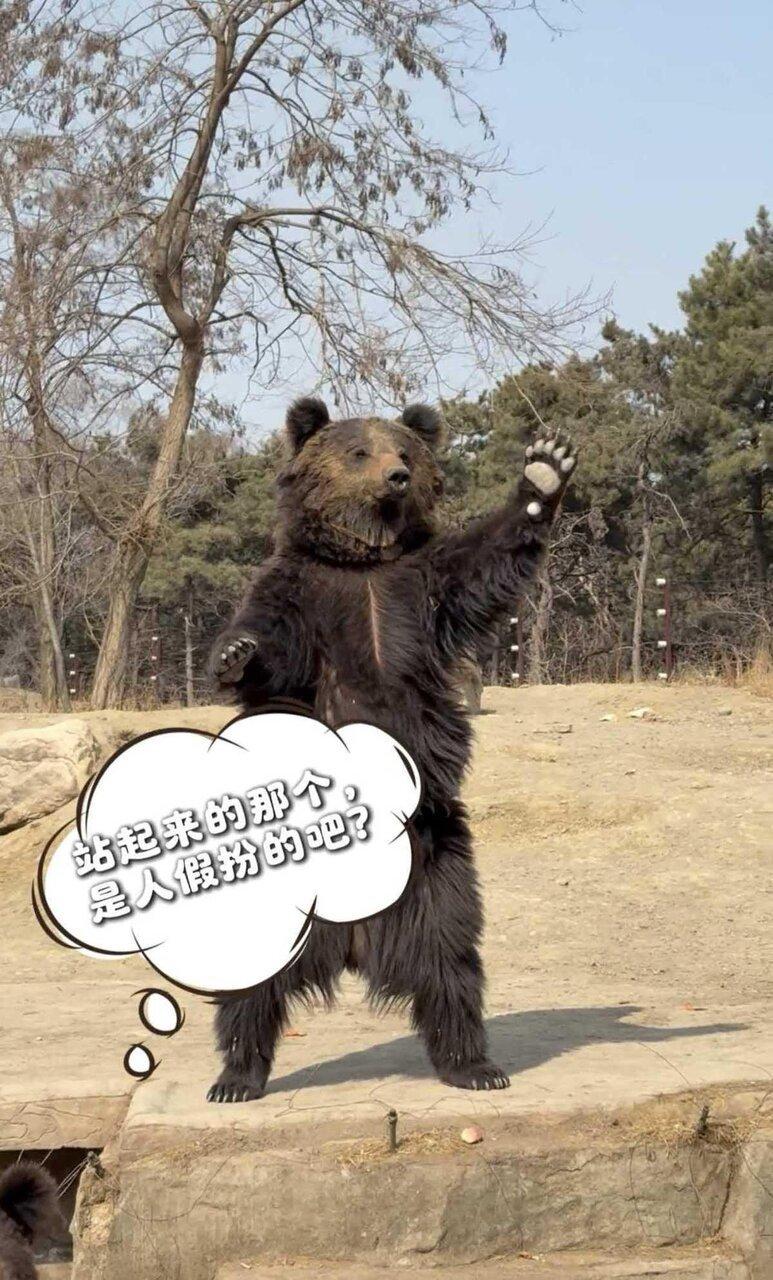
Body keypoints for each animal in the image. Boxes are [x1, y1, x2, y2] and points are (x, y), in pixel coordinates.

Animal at [207, 398, 576, 1102]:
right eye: (358, 452)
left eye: (403, 451)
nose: (397, 477)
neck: (363, 561)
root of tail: (354, 936)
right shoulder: (299, 591)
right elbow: (266, 647)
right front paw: (233, 653)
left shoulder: (425, 585)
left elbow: (483, 564)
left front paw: (545, 469)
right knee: (253, 975)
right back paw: (236, 1075)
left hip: (436, 866)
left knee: (452, 960)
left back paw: (474, 1065)